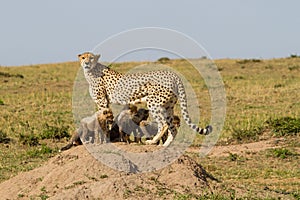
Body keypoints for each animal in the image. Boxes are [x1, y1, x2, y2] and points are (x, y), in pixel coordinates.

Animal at [78, 51, 212, 147]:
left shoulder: (102, 101)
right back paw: (166, 144)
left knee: (163, 124)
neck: (91, 72)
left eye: (91, 58)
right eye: (83, 57)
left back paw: (152, 141)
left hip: (153, 103)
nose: (86, 63)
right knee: (172, 128)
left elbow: (104, 120)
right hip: (168, 106)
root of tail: (173, 74)